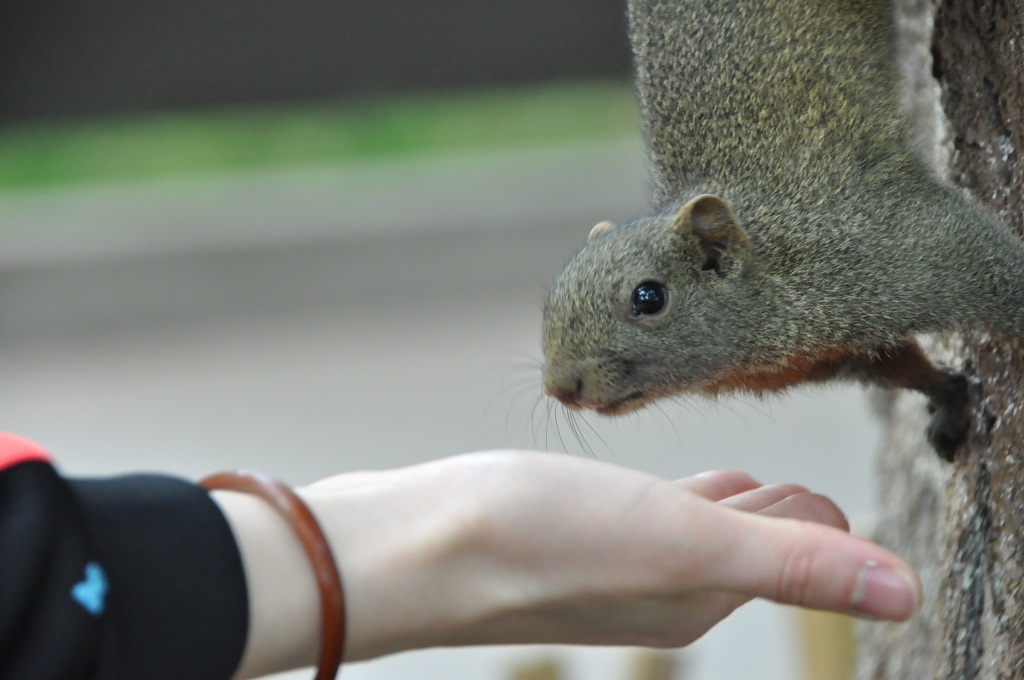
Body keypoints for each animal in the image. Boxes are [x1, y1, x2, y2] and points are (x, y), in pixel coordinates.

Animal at [540, 0, 1019, 462]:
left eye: (648, 298)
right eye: (551, 302)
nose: (560, 388)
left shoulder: (902, 245)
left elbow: (992, 266)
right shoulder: (839, 351)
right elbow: (900, 366)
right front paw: (948, 399)